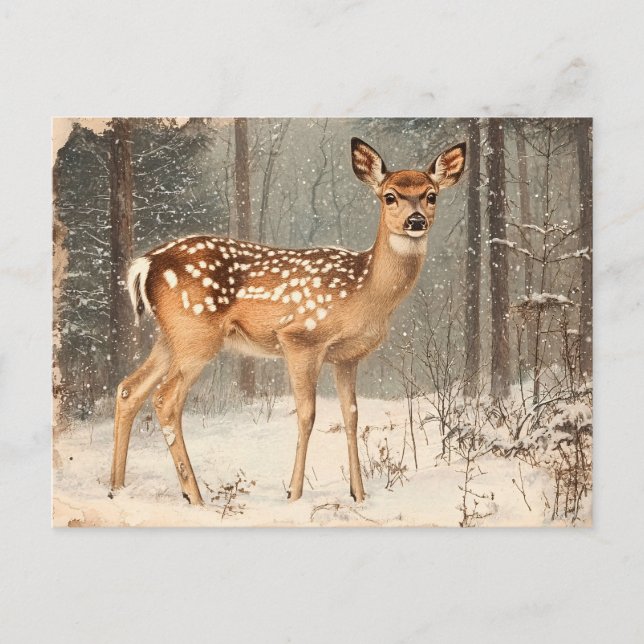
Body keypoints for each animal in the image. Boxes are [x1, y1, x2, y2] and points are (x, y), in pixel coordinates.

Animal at [109, 137, 466, 506]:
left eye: (432, 195)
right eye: (390, 196)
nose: (416, 220)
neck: (364, 291)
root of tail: (145, 264)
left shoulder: (347, 356)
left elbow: (351, 416)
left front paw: (359, 494)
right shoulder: (301, 338)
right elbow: (307, 415)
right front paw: (293, 494)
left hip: (171, 337)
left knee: (128, 389)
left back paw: (117, 488)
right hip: (196, 335)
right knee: (165, 399)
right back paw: (194, 496)